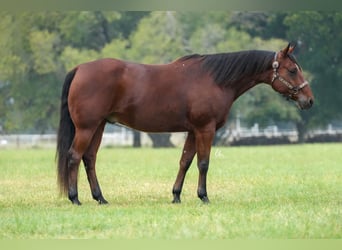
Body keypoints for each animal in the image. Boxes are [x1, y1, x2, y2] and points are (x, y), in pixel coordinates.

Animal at [56, 42, 316, 204]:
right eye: (292, 70)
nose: (309, 100)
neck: (215, 80)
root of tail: (80, 69)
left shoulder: (192, 131)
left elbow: (185, 161)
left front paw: (176, 195)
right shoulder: (205, 129)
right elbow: (203, 163)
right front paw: (204, 196)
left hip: (98, 126)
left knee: (89, 159)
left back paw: (100, 197)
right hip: (87, 128)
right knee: (74, 157)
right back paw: (75, 198)